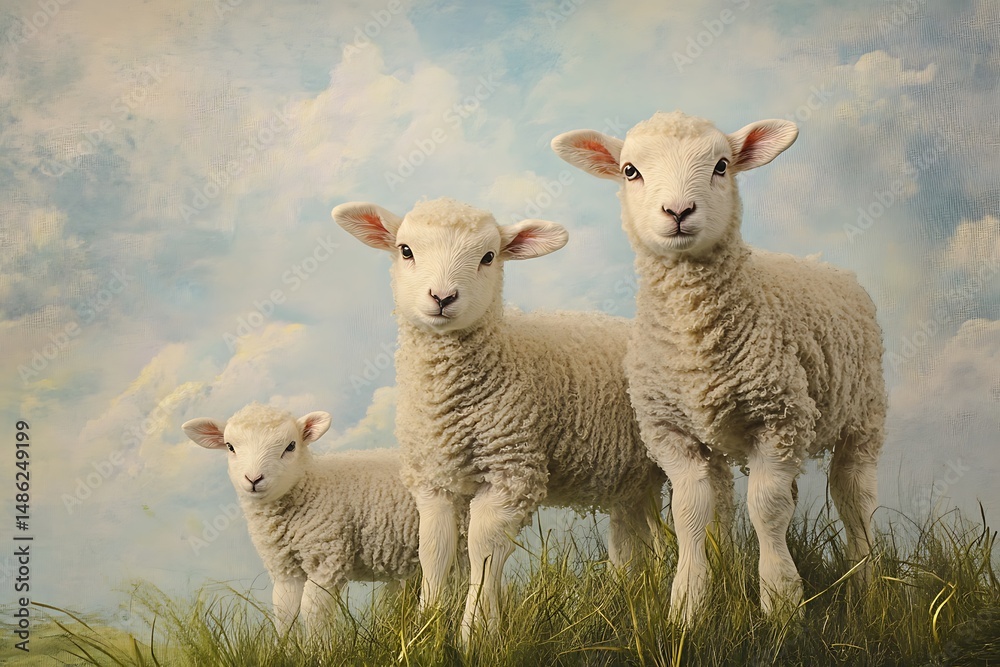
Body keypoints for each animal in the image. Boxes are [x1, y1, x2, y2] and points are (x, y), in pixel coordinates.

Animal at [182, 403, 421, 636]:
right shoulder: (285, 568)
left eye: (290, 446)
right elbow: (284, 613)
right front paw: (286, 647)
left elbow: (312, 612)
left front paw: (320, 647)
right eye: (230, 447)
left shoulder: (326, 560)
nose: (254, 479)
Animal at [332, 197, 666, 640]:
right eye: (405, 250)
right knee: (634, 533)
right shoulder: (435, 477)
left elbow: (483, 547)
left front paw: (477, 631)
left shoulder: (511, 470)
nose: (442, 297)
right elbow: (433, 550)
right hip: (632, 476)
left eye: (489, 256)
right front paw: (427, 627)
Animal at [553, 111, 886, 624]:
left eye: (722, 165)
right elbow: (692, 514)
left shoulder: (777, 416)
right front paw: (689, 606)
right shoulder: (672, 434)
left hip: (861, 414)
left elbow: (766, 509)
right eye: (630, 170)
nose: (678, 211)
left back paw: (867, 587)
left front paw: (781, 603)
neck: (698, 344)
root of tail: (826, 264)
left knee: (854, 496)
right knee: (733, 501)